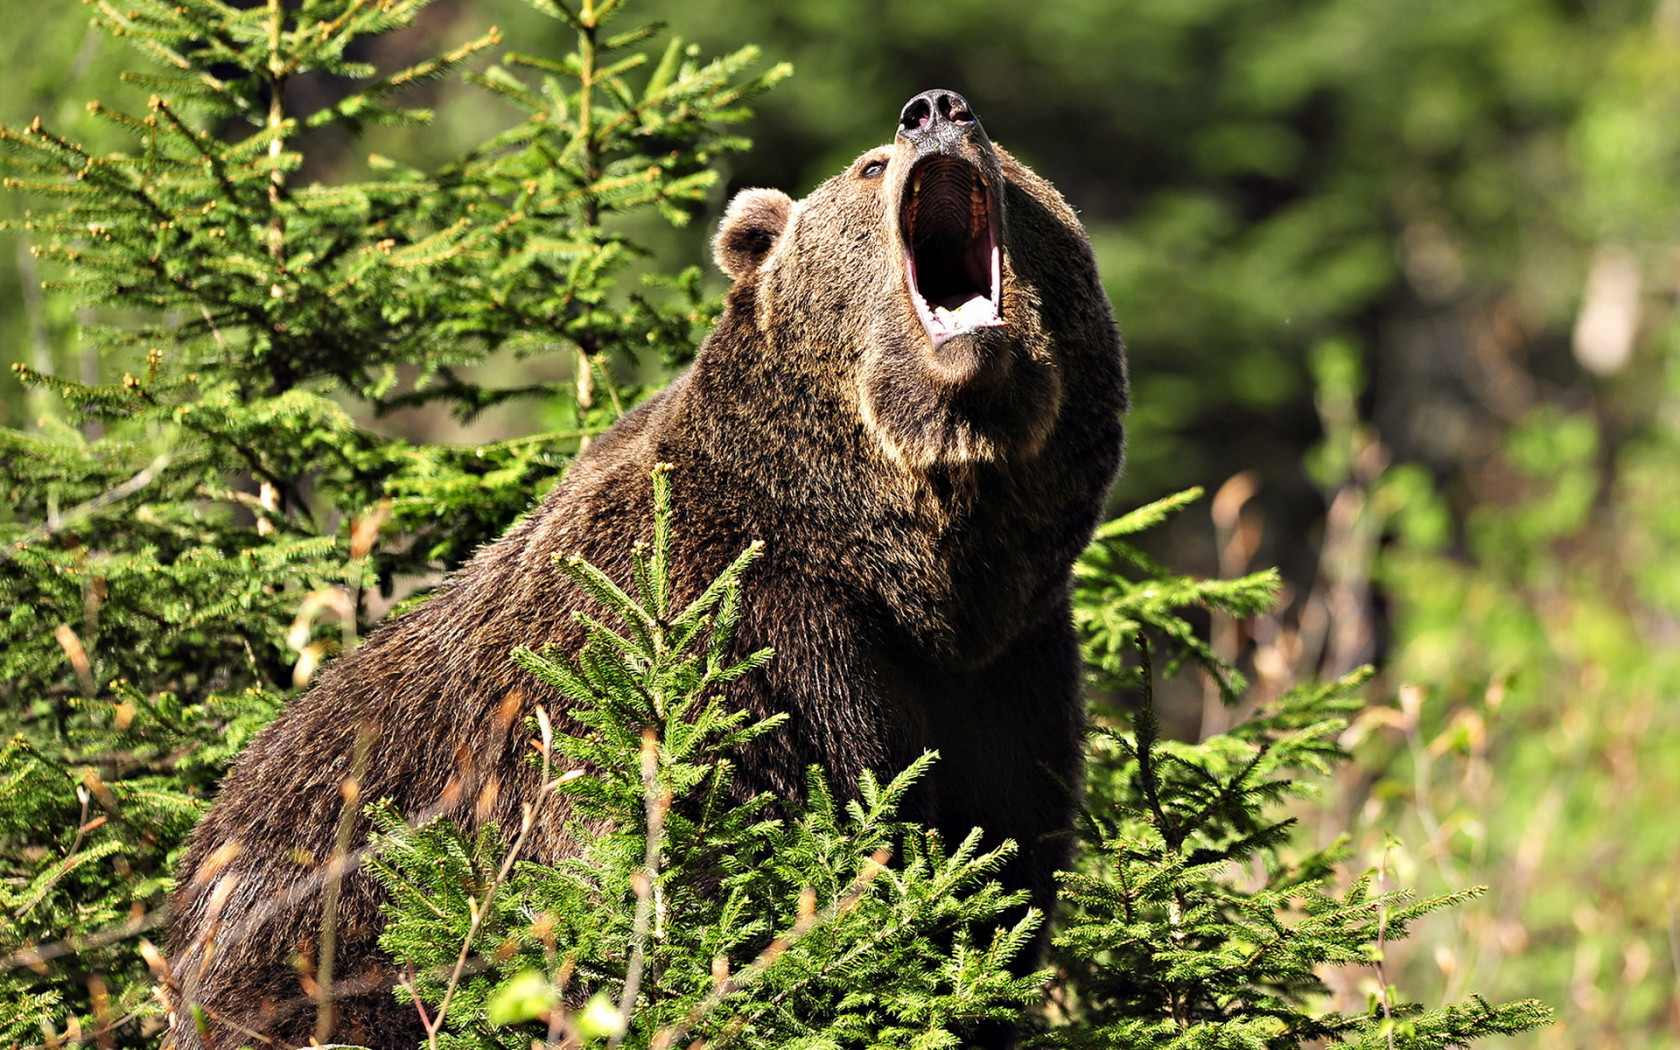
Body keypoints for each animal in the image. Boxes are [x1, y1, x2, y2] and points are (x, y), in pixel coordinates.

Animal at [167, 88, 1128, 1048]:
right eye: (867, 168)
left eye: (1009, 161)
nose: (935, 110)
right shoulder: (721, 633)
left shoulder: (1007, 677)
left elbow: (993, 881)